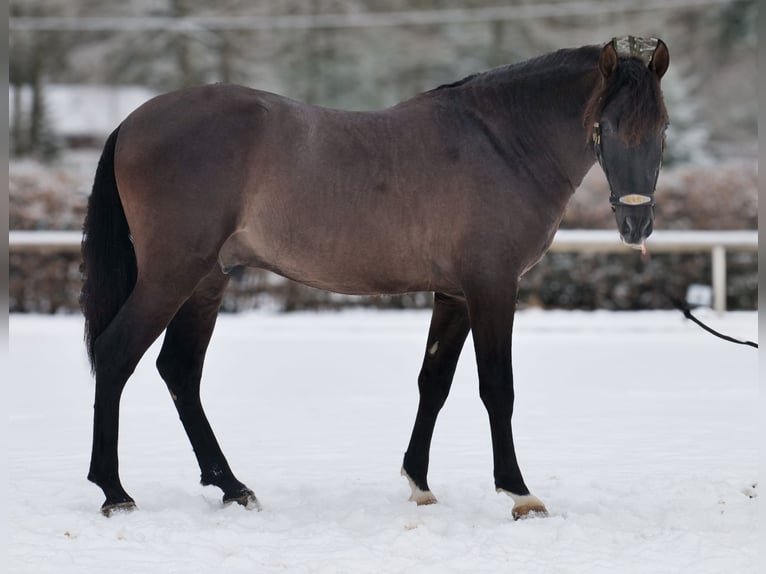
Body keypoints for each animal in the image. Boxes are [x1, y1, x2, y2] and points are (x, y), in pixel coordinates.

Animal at [80, 36, 669, 518]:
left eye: (662, 129)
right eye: (607, 128)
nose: (636, 223)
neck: (501, 142)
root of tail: (132, 122)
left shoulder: (454, 294)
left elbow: (434, 383)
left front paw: (419, 484)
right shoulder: (493, 287)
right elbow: (496, 387)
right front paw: (519, 493)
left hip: (208, 280)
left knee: (179, 370)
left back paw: (232, 486)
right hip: (172, 274)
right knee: (116, 355)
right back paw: (114, 491)